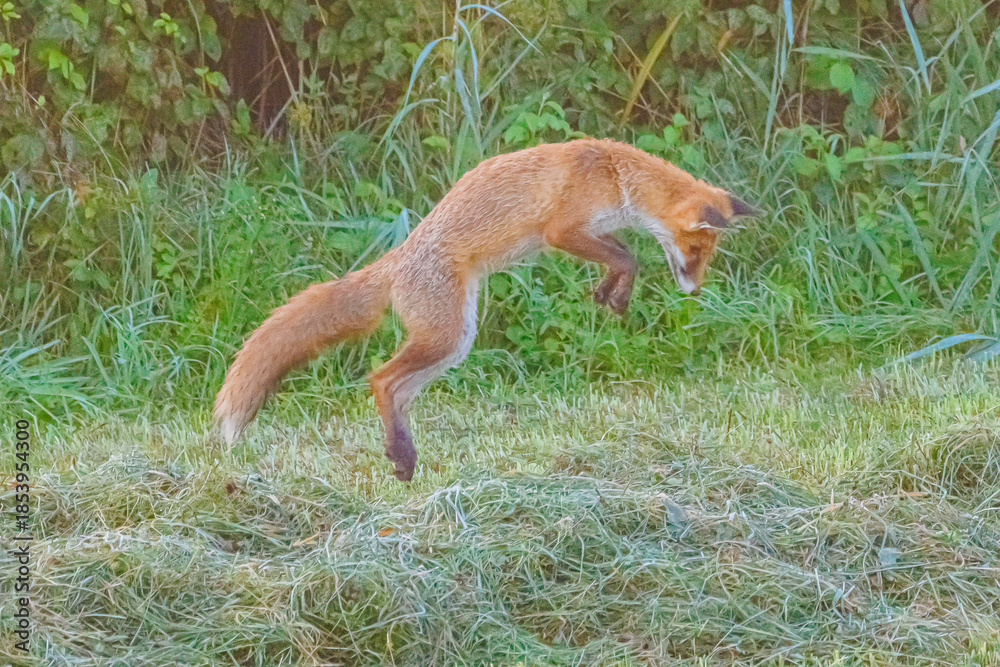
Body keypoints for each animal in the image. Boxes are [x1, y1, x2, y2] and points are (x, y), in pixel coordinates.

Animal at [214, 138, 759, 481]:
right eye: (696, 252)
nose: (694, 290)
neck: (613, 173)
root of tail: (397, 258)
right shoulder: (562, 229)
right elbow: (630, 255)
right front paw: (617, 292)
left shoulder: (591, 232)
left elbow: (621, 255)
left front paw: (609, 291)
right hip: (446, 335)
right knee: (381, 379)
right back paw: (401, 450)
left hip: (456, 341)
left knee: (398, 390)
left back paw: (402, 455)